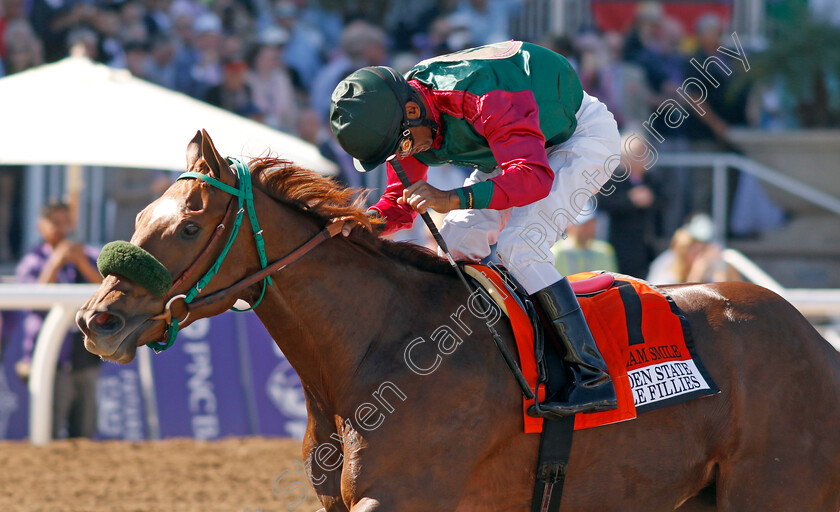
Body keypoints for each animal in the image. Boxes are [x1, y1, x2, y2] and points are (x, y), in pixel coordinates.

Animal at [77, 130, 840, 510]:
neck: (374, 351)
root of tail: (816, 343)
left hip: (772, 494)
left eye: (186, 227)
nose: (96, 321)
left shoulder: (403, 499)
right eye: (140, 216)